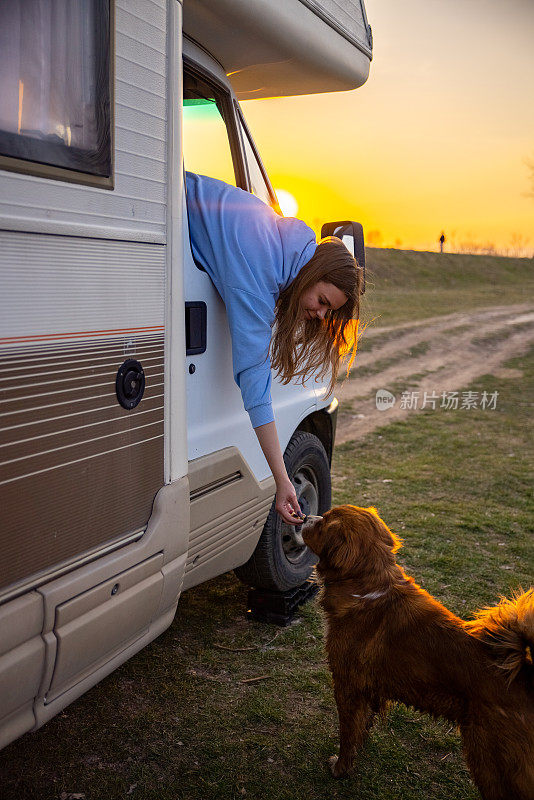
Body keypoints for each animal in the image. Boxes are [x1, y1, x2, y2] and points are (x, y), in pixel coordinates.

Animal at [302, 506, 534, 800]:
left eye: (324, 523)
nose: (305, 516)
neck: (365, 588)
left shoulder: (347, 686)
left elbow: (347, 734)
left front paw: (340, 768)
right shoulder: (366, 691)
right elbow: (362, 727)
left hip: (490, 762)